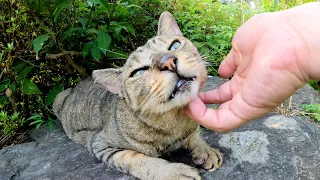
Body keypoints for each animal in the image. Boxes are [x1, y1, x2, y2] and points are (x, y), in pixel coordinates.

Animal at [53, 11, 222, 179]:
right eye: (139, 72)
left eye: (175, 45)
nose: (167, 61)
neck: (175, 118)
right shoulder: (100, 144)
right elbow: (136, 159)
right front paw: (172, 172)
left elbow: (195, 134)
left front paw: (205, 149)